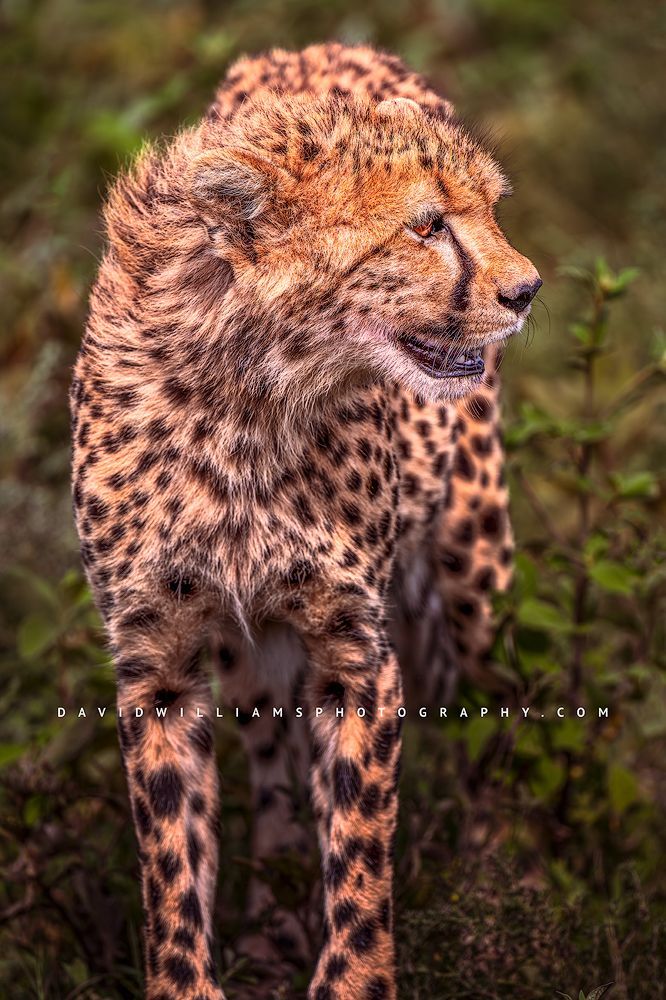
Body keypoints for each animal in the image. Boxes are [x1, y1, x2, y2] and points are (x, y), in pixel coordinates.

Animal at [70, 41, 541, 1000]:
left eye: (488, 211)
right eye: (427, 225)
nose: (527, 290)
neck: (249, 395)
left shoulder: (355, 653)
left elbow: (359, 853)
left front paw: (355, 977)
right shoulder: (157, 660)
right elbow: (172, 861)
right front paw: (193, 977)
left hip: (473, 564)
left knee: (496, 705)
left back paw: (496, 888)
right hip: (246, 652)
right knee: (271, 761)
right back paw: (273, 919)